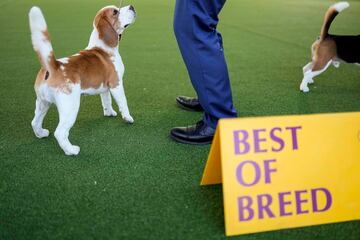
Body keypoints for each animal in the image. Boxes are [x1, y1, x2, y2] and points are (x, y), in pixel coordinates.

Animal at [29, 4, 136, 156]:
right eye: (115, 12)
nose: (132, 6)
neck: (103, 47)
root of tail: (53, 66)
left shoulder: (105, 88)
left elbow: (106, 101)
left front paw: (109, 113)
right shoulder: (117, 84)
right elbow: (123, 103)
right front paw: (128, 118)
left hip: (42, 103)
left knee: (35, 122)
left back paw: (41, 133)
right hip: (70, 107)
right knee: (60, 133)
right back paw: (71, 150)